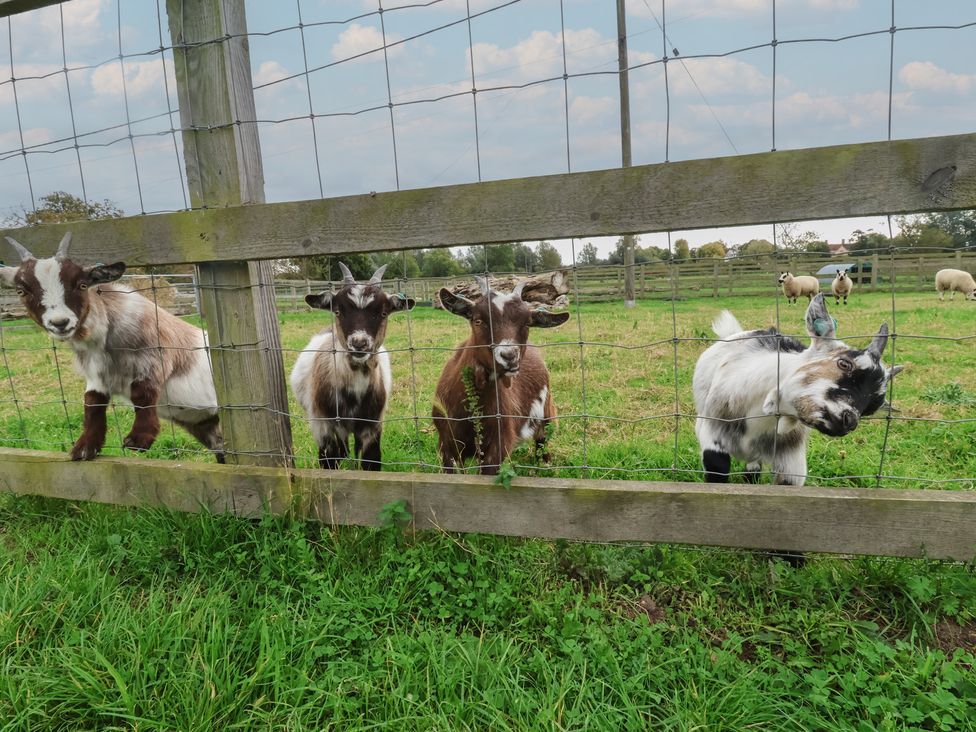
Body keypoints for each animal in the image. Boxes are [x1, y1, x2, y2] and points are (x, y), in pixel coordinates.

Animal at [1, 233, 224, 462]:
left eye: (82, 285)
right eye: (21, 291)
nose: (60, 323)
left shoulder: (155, 357)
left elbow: (142, 392)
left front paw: (138, 439)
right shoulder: (96, 375)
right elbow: (92, 403)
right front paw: (84, 448)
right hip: (205, 424)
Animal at [290, 262, 415, 469]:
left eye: (383, 313)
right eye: (338, 311)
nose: (359, 343)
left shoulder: (372, 425)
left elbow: (371, 461)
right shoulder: (321, 424)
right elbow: (329, 460)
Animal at [433, 278, 569, 475]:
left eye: (527, 324)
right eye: (478, 320)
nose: (509, 356)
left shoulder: (500, 442)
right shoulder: (447, 443)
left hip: (547, 411)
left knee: (543, 440)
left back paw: (544, 466)